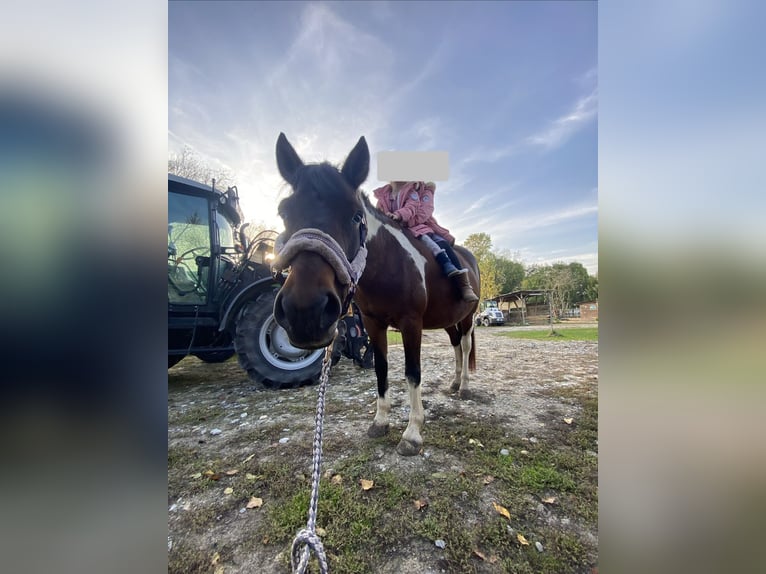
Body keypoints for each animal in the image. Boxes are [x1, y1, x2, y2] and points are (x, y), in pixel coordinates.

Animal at [272, 133, 480, 456]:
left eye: (355, 215)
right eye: (284, 212)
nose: (305, 311)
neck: (388, 264)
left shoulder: (411, 323)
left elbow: (412, 373)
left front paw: (412, 434)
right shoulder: (372, 323)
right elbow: (381, 369)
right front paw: (380, 422)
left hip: (468, 317)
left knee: (467, 346)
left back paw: (466, 388)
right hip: (448, 321)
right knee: (457, 347)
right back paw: (456, 383)